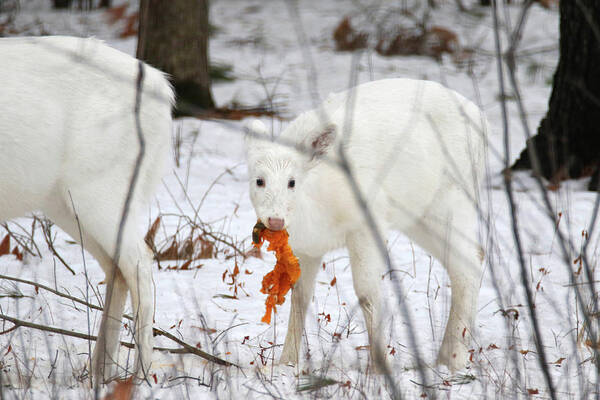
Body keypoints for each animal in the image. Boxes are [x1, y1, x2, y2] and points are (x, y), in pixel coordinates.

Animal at [0, 36, 173, 382]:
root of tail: (164, 91)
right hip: (63, 200)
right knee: (116, 267)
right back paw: (99, 370)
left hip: (101, 187)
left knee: (140, 262)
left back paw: (140, 375)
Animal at [245, 78, 488, 372]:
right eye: (259, 180)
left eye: (292, 181)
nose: (276, 219)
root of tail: (482, 120)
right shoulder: (307, 247)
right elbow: (299, 296)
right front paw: (287, 362)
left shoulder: (367, 222)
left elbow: (368, 294)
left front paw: (381, 368)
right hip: (419, 217)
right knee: (472, 258)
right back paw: (446, 356)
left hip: (453, 200)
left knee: (468, 262)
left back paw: (454, 358)